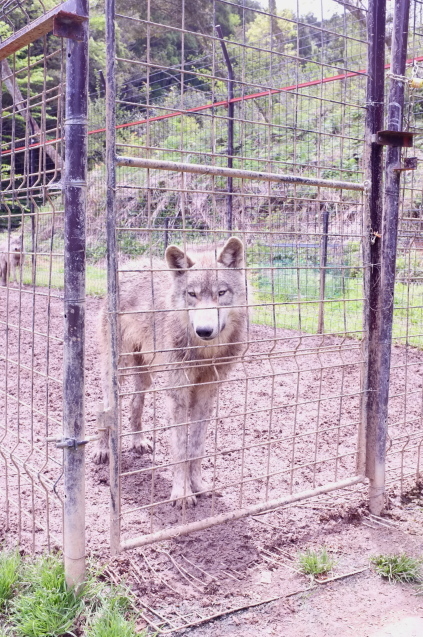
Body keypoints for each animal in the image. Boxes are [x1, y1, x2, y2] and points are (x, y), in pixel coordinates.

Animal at [95, 236, 248, 504]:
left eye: (221, 293)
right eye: (191, 294)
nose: (204, 331)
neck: (204, 352)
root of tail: (132, 264)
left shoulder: (206, 392)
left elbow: (196, 447)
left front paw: (198, 485)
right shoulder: (177, 394)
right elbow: (180, 448)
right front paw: (182, 493)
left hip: (145, 375)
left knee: (135, 404)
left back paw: (138, 441)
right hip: (116, 373)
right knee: (105, 409)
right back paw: (103, 450)